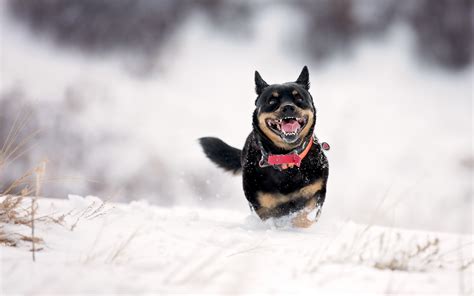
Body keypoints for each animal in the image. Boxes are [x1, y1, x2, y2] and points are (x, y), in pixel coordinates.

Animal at [198, 66, 328, 227]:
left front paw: (298, 224)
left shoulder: (315, 191)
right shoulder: (263, 205)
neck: (285, 158)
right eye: (272, 100)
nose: (288, 107)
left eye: (298, 98)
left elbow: (304, 215)